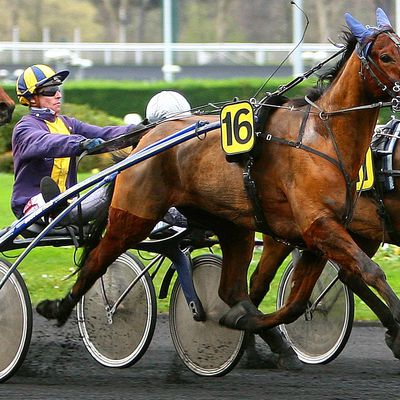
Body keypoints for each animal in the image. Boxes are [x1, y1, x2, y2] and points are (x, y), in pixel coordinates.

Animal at [38, 7, 400, 360]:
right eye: (385, 56)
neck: (323, 138)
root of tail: (147, 138)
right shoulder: (318, 225)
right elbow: (369, 271)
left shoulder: (320, 235)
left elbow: (298, 302)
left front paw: (246, 322)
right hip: (134, 215)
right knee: (98, 259)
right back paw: (58, 307)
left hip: (233, 225)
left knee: (233, 288)